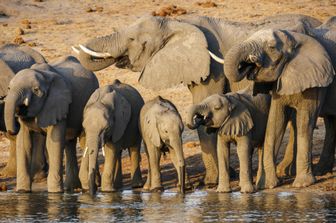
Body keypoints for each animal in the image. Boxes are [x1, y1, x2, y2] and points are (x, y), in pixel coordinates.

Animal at [4, 55, 98, 192]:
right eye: (9, 88)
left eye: (36, 90)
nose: (11, 130)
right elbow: (24, 143)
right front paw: (22, 192)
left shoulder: (58, 104)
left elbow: (53, 143)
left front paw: (55, 193)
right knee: (69, 142)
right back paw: (71, 188)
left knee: (83, 139)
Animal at [222, 27, 334, 188]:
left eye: (271, 47)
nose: (250, 61)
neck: (294, 37)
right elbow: (275, 121)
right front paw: (267, 186)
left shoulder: (316, 81)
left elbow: (305, 122)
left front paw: (302, 185)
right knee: (331, 122)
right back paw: (321, 171)